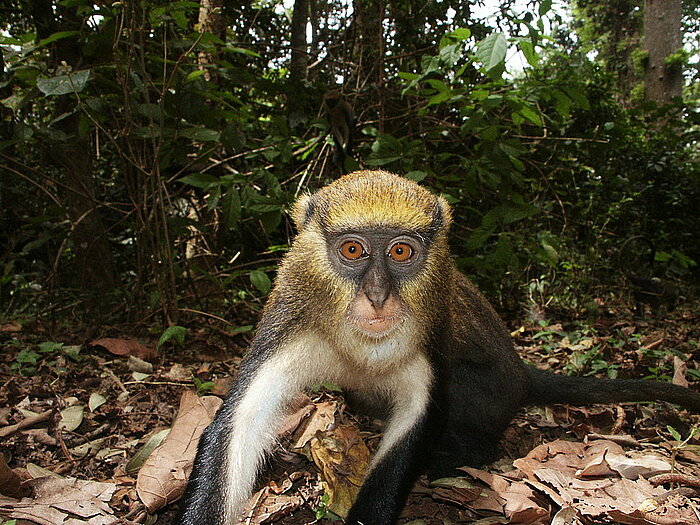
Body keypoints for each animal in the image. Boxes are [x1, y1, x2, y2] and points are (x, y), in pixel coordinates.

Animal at [176, 169, 700, 524]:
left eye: (401, 251)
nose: (378, 296)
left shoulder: (431, 337)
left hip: (490, 393)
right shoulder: (291, 319)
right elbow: (238, 422)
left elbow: (418, 419)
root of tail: (521, 372)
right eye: (353, 250)